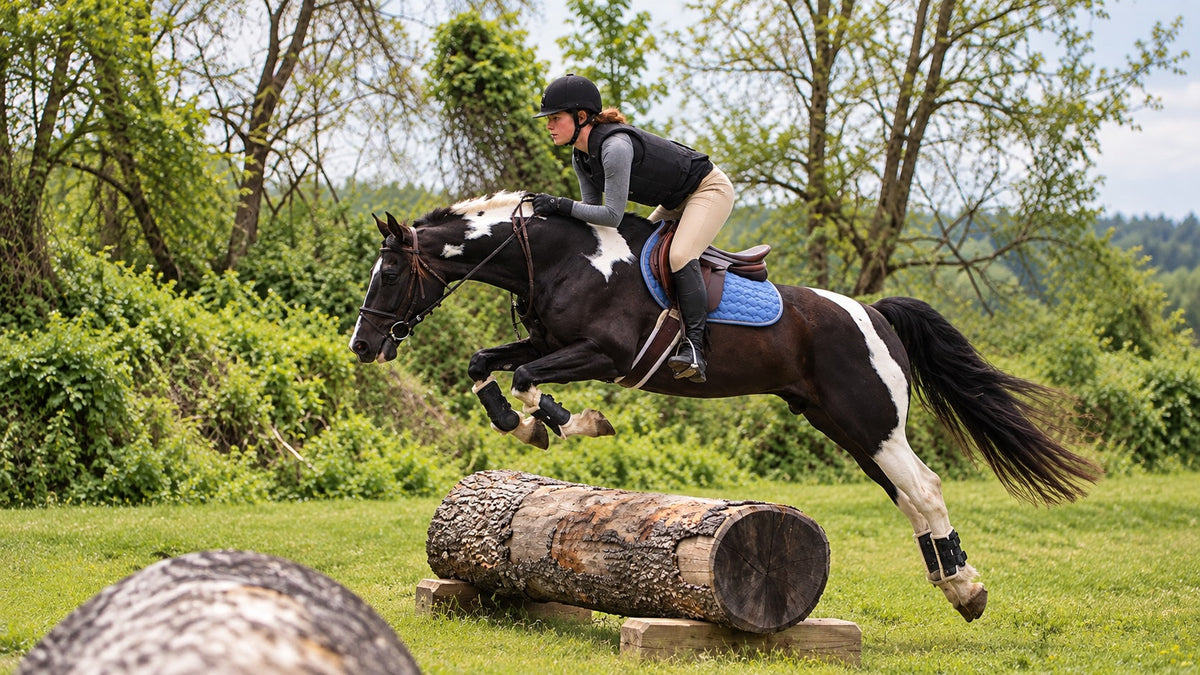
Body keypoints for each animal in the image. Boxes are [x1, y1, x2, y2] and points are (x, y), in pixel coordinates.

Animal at [348, 190, 1102, 623]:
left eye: (390, 273)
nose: (362, 344)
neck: (564, 255)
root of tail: (875, 312)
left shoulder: (606, 354)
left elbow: (532, 377)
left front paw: (567, 422)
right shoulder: (548, 339)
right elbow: (487, 363)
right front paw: (519, 423)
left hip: (873, 423)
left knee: (924, 486)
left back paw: (967, 589)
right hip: (846, 426)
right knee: (907, 494)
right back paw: (954, 585)